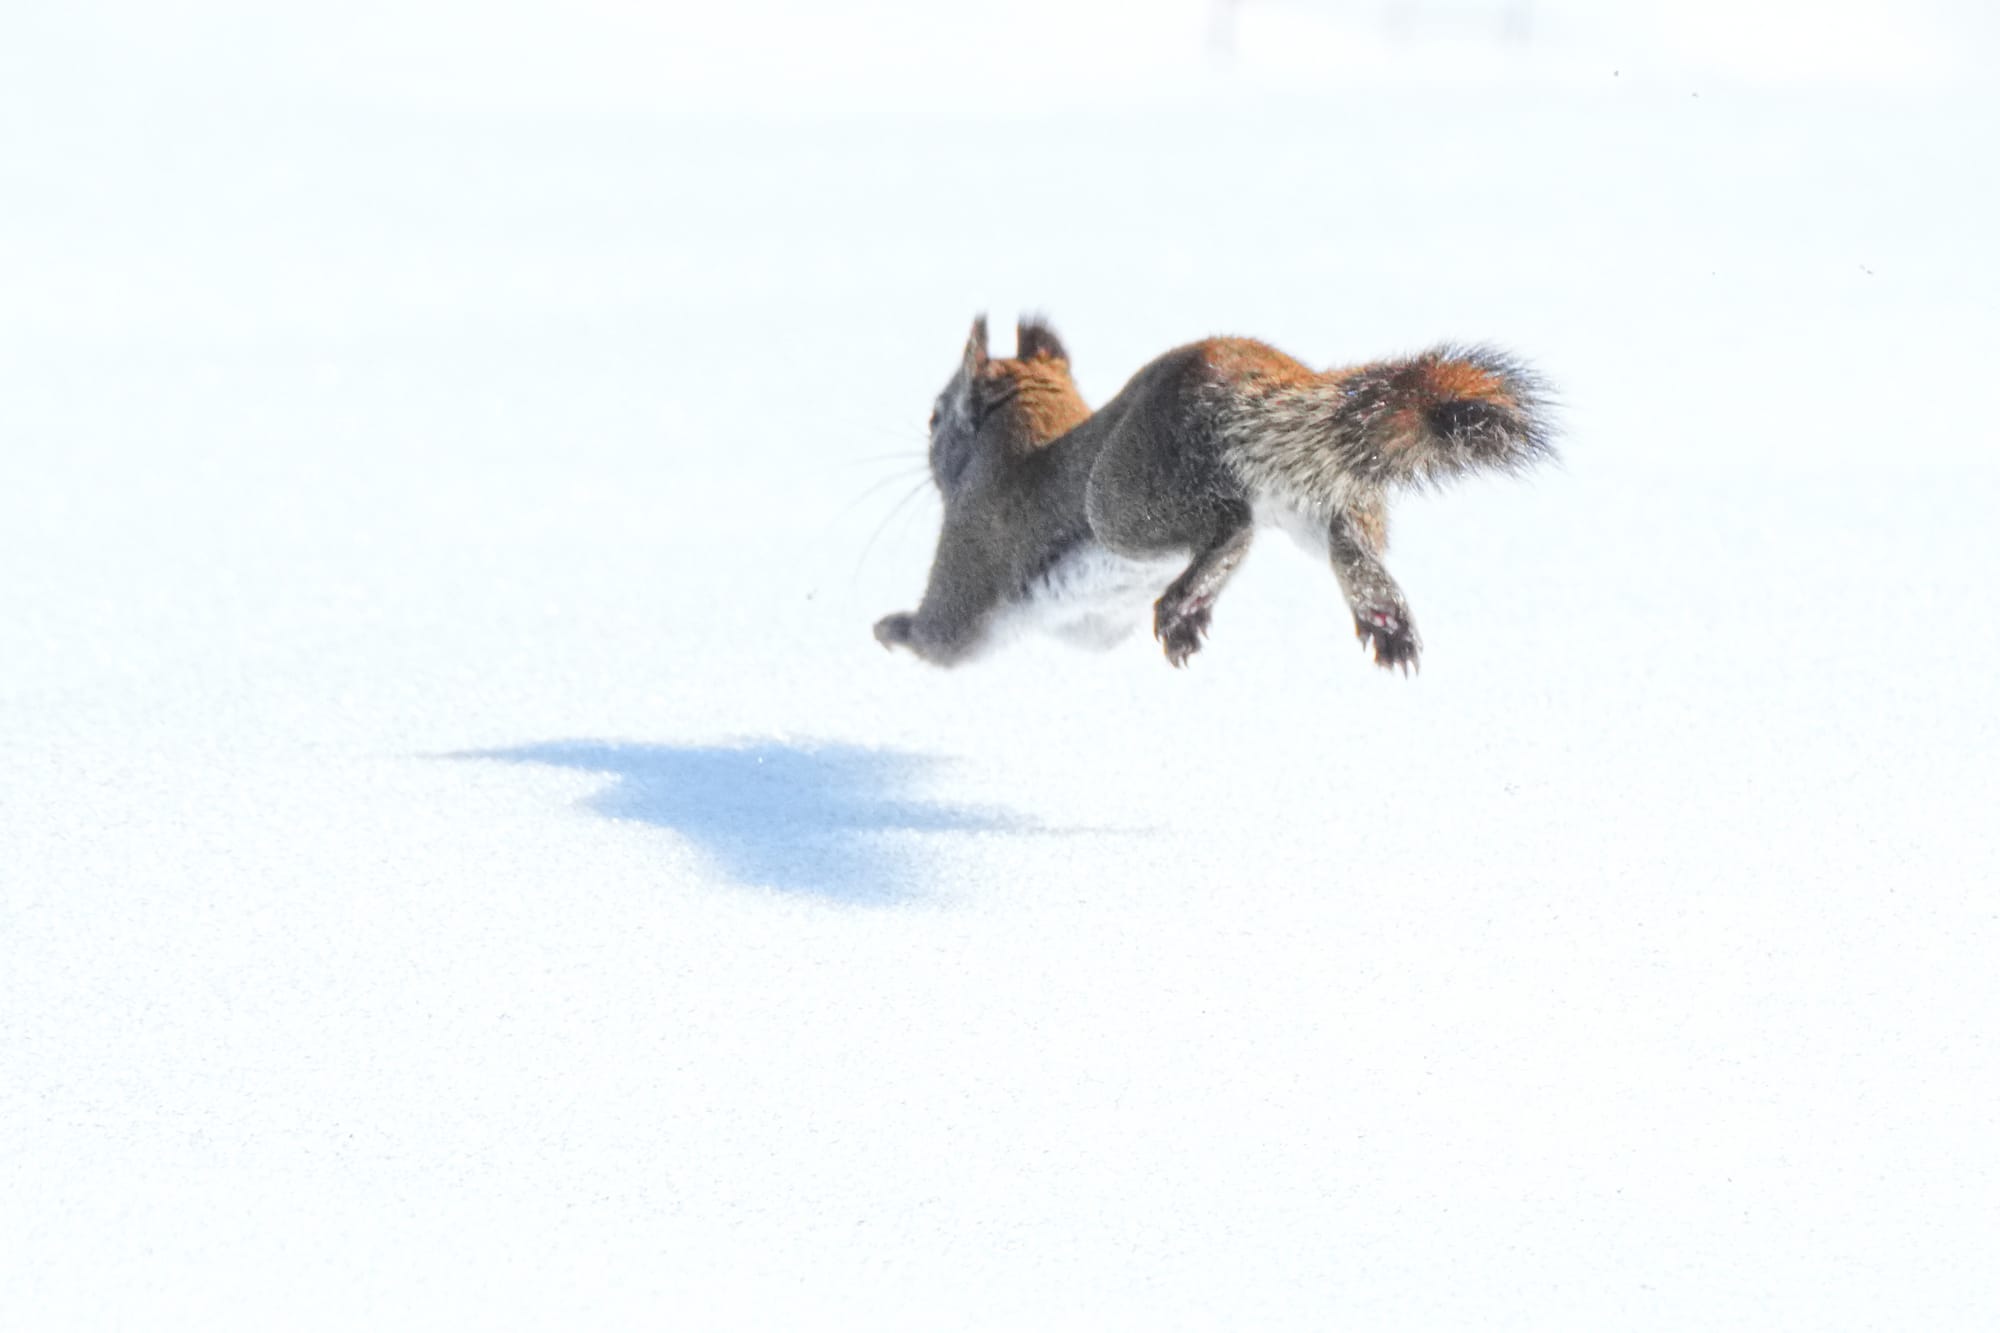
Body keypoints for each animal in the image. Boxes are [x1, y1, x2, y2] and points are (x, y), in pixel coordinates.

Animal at [874, 316, 1553, 672]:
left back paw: (1187, 600)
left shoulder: (971, 554)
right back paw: (1383, 613)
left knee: (1231, 527)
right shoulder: (1091, 625)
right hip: (1325, 495)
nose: (926, 450)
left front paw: (891, 628)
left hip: (1127, 498)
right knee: (1347, 545)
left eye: (934, 419)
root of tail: (1257, 381)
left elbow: (942, 637)